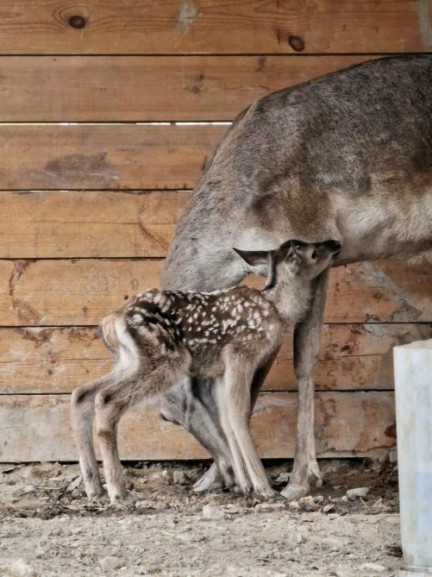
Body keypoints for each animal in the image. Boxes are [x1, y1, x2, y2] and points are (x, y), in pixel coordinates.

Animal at [159, 56, 432, 498]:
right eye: (168, 418)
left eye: (177, 405)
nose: (227, 473)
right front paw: (211, 479)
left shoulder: (318, 248)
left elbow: (302, 358)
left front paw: (300, 479)